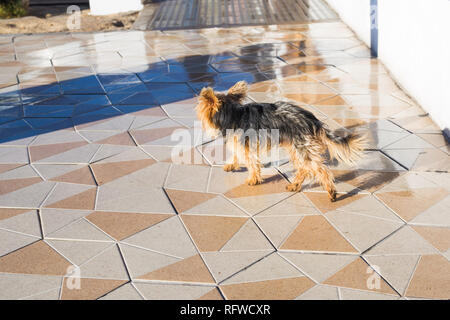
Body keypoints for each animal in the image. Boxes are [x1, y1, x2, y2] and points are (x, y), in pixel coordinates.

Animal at [196, 81, 366, 201]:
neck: (233, 115)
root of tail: (312, 119)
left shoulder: (247, 145)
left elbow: (252, 163)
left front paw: (253, 179)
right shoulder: (242, 143)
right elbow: (238, 155)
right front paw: (231, 165)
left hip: (301, 146)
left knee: (319, 169)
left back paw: (331, 192)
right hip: (295, 147)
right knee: (304, 168)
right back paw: (294, 185)